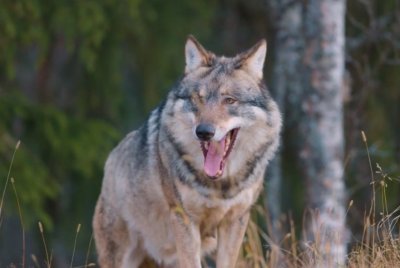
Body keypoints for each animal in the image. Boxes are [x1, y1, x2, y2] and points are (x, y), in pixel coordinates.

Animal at [92, 35, 282, 268]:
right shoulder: (184, 219)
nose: (204, 132)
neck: (219, 186)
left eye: (229, 100)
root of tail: (110, 160)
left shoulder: (235, 220)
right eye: (197, 99)